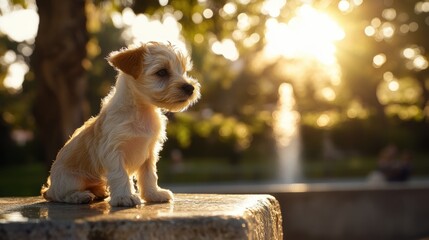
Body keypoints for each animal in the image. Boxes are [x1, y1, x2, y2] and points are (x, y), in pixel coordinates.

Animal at [40, 42, 201, 207]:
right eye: (162, 72)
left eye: (183, 71)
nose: (190, 87)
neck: (141, 111)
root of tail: (50, 186)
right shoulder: (114, 151)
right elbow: (120, 175)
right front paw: (125, 197)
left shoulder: (149, 152)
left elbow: (149, 175)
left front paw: (153, 194)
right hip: (70, 180)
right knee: (60, 195)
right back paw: (79, 196)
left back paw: (100, 192)